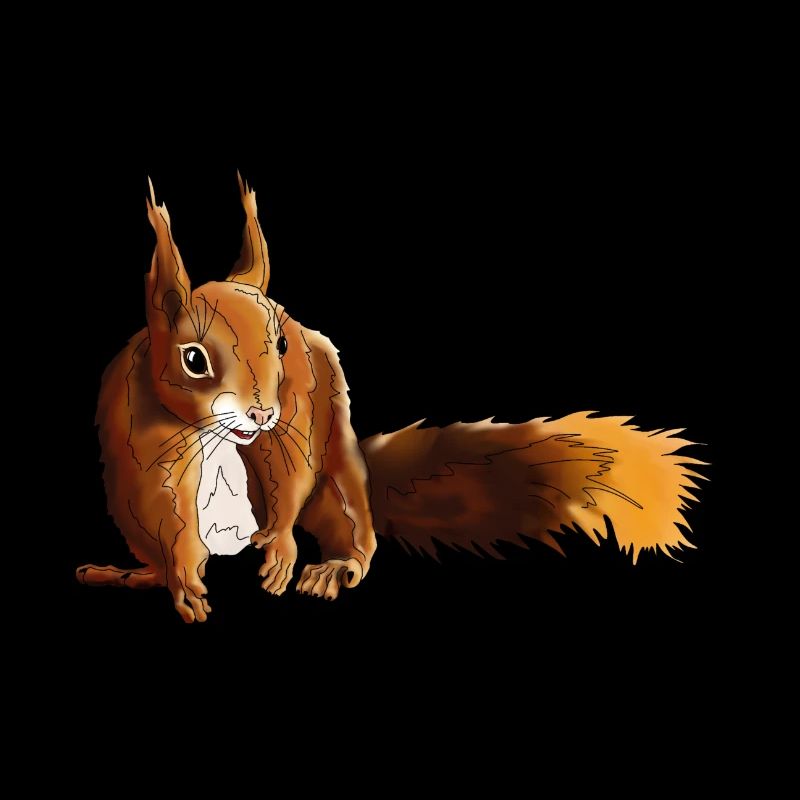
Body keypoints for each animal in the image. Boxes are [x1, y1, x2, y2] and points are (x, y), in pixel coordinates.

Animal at [77, 175, 706, 623]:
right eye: (193, 360)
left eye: (280, 342)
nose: (261, 411)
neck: (218, 435)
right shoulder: (147, 449)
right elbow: (167, 512)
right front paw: (185, 579)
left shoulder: (295, 425)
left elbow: (290, 478)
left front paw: (280, 548)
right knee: (158, 549)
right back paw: (135, 575)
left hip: (340, 474)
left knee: (354, 525)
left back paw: (334, 567)